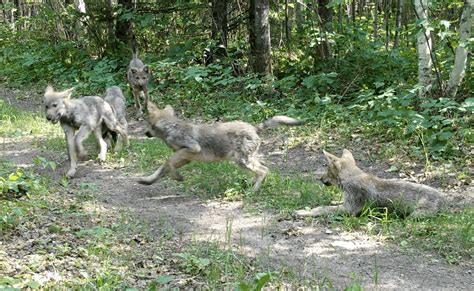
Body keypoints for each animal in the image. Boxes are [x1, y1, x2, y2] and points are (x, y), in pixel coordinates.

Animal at [137, 101, 304, 193]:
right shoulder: (185, 157)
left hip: (241, 161)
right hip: (246, 160)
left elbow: (168, 162)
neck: (170, 127)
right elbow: (162, 168)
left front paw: (177, 177)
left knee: (263, 171)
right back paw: (250, 185)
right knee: (262, 170)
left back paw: (253, 191)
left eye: (148, 124)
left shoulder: (191, 149)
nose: (145, 133)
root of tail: (255, 128)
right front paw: (147, 181)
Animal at [294, 149, 446, 218]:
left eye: (326, 169)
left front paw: (302, 212)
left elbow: (322, 208)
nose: (319, 179)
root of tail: (444, 199)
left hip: (415, 215)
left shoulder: (350, 208)